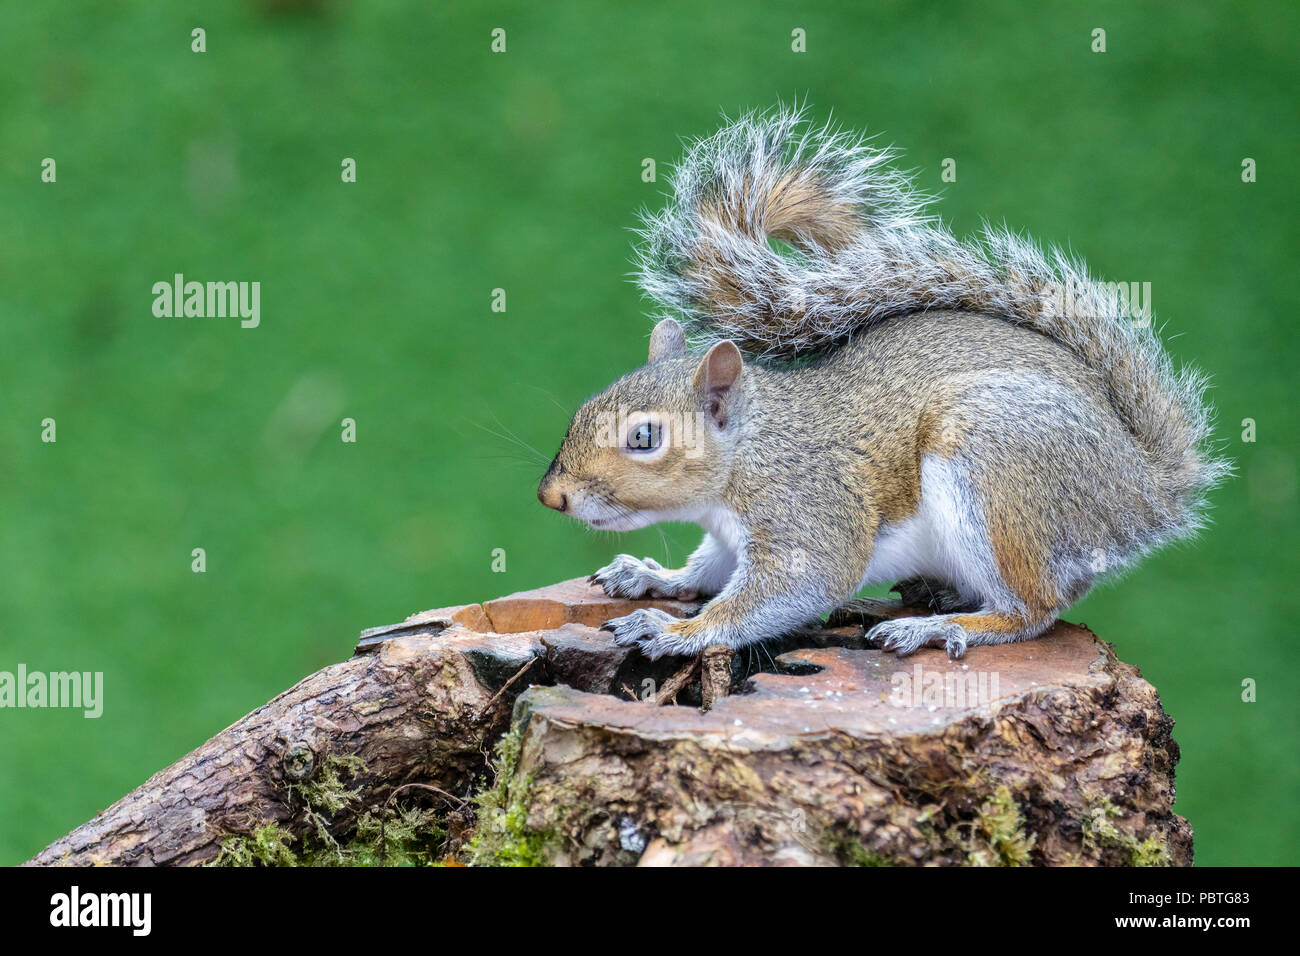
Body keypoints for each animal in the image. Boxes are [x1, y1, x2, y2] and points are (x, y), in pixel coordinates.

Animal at [537, 105, 1230, 660]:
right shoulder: (731, 538)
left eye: (645, 438)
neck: (748, 455)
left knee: (1034, 609)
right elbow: (708, 570)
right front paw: (653, 577)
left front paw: (672, 630)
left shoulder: (808, 511)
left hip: (994, 465)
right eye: (586, 405)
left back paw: (943, 627)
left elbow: (795, 585)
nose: (552, 497)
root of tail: (1141, 488)